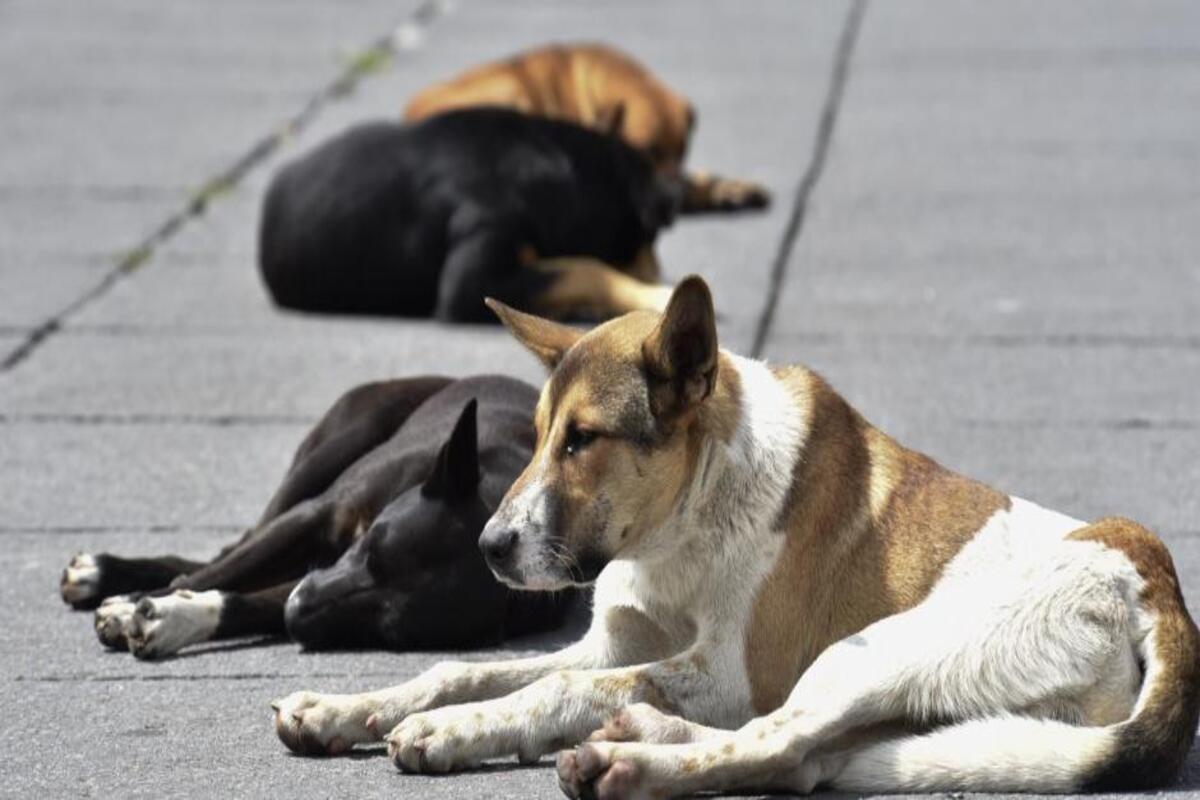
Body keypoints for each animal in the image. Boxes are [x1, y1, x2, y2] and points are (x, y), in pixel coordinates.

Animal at [60, 376, 576, 657]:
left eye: (389, 630)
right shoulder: (313, 521)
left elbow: (248, 601)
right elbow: (222, 572)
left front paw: (175, 616)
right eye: (370, 549)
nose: (299, 609)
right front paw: (137, 604)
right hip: (336, 446)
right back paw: (106, 574)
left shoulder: (317, 581)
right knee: (231, 548)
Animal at [272, 278, 1200, 796]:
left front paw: (454, 733)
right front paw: (347, 708)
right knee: (804, 762)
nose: (490, 547)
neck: (684, 523)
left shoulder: (728, 674)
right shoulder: (615, 645)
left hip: (877, 651)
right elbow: (462, 670)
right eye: (535, 437)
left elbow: (547, 691)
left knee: (779, 738)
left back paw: (632, 766)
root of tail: (1158, 589)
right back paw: (646, 740)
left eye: (583, 440)